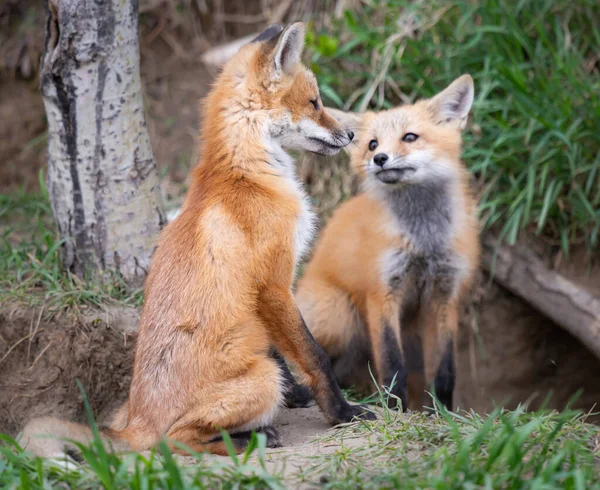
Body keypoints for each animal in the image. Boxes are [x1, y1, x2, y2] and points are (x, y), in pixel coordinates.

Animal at [21, 23, 372, 460]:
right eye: (315, 103)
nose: (352, 134)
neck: (245, 173)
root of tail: (136, 423)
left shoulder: (258, 297)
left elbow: (280, 351)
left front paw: (297, 398)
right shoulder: (273, 283)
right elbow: (314, 355)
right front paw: (341, 412)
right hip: (258, 380)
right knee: (173, 441)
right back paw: (252, 437)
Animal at [296, 76, 478, 412]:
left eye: (410, 137)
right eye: (372, 144)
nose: (379, 159)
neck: (422, 239)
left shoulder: (445, 295)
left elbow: (445, 370)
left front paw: (444, 413)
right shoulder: (382, 291)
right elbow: (392, 364)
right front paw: (396, 409)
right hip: (340, 315)